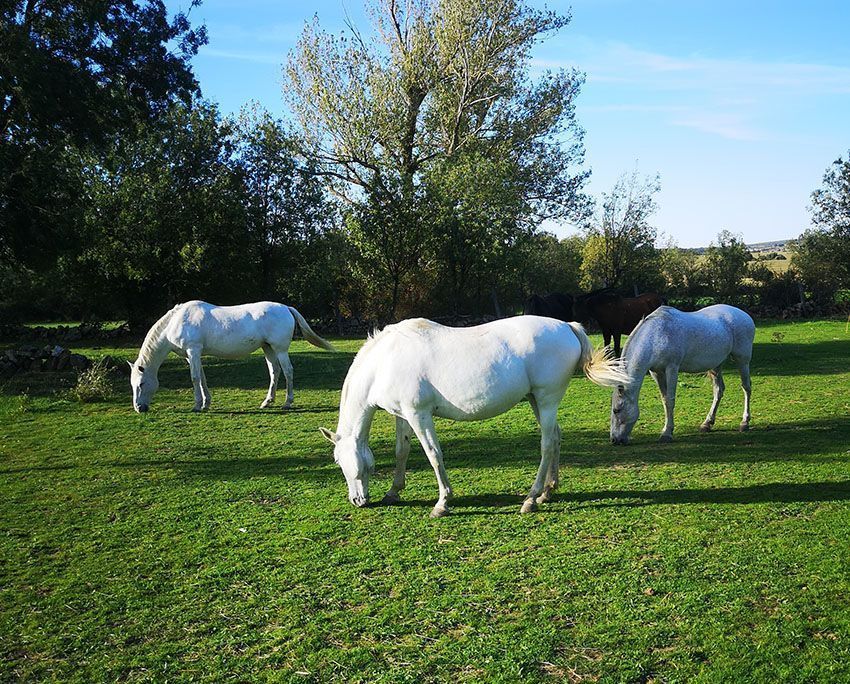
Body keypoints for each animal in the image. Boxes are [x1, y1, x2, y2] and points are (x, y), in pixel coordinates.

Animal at [129, 301, 335, 413]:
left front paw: (197, 405)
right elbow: (202, 378)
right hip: (268, 348)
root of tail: (286, 307)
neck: (176, 321)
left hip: (280, 349)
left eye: (141, 384)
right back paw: (267, 402)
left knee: (288, 372)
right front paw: (206, 404)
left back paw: (287, 403)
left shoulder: (193, 351)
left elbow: (195, 378)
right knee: (274, 372)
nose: (139, 408)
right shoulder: (193, 355)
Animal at [318, 316, 629, 517]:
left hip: (547, 398)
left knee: (547, 444)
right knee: (556, 436)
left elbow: (433, 453)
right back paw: (547, 492)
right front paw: (394, 492)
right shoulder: (403, 415)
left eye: (340, 461)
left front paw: (442, 503)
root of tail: (567, 326)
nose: (357, 500)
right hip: (536, 401)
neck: (385, 361)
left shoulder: (419, 415)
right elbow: (401, 451)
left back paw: (531, 499)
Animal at [609, 305, 755, 445]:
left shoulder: (672, 368)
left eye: (617, 410)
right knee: (719, 390)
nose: (614, 440)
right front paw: (665, 429)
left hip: (742, 360)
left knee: (746, 387)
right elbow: (664, 400)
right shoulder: (656, 373)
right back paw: (707, 424)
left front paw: (667, 434)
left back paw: (744, 422)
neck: (656, 335)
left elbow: (670, 400)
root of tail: (745, 316)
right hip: (716, 366)